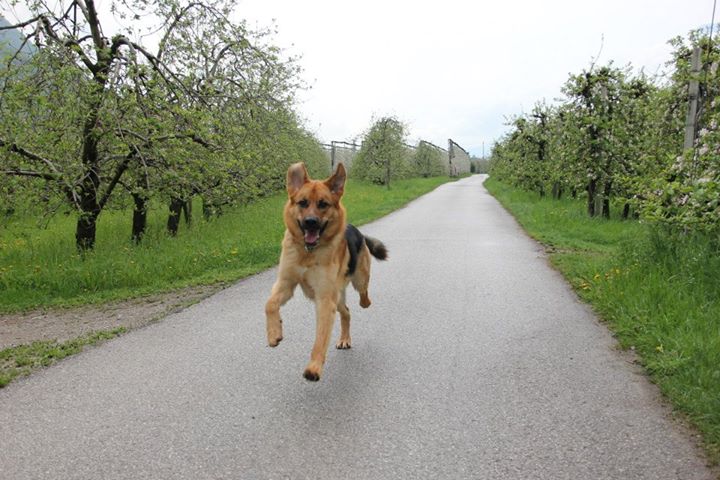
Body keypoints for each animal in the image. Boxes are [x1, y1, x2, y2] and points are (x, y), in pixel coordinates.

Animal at [266, 163, 388, 380]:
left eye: (323, 204)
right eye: (303, 203)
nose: (311, 222)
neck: (308, 253)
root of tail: (356, 230)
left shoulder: (324, 299)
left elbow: (321, 337)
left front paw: (314, 367)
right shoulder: (285, 285)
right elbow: (269, 304)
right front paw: (274, 333)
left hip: (357, 281)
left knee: (363, 297)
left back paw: (364, 303)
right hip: (337, 298)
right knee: (346, 312)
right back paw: (345, 338)